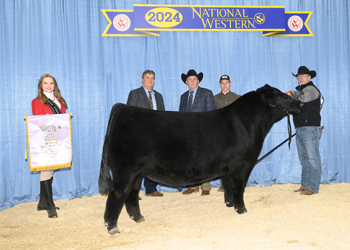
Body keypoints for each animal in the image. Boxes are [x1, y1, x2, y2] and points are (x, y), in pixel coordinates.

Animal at [98, 84, 300, 234]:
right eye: (281, 97)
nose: (299, 103)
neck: (248, 123)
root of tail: (124, 107)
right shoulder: (241, 166)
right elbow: (239, 189)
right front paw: (241, 210)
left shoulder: (227, 169)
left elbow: (228, 187)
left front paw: (229, 205)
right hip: (125, 171)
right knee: (117, 195)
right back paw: (112, 227)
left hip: (136, 173)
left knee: (131, 194)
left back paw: (138, 218)